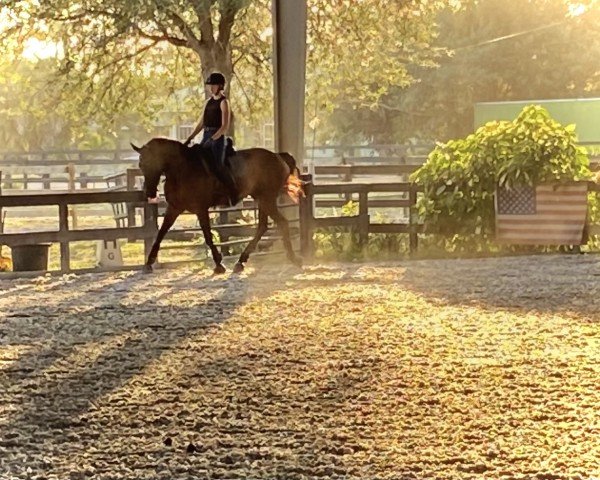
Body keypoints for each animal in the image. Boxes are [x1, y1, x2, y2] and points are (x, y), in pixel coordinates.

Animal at [128, 138, 302, 274]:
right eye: (141, 164)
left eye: (152, 163)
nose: (149, 193)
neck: (182, 169)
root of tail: (278, 156)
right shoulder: (174, 208)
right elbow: (161, 233)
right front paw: (148, 263)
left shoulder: (200, 208)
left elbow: (207, 235)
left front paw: (219, 264)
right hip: (261, 199)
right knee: (263, 226)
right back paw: (241, 261)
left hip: (267, 199)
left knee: (281, 223)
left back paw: (294, 259)